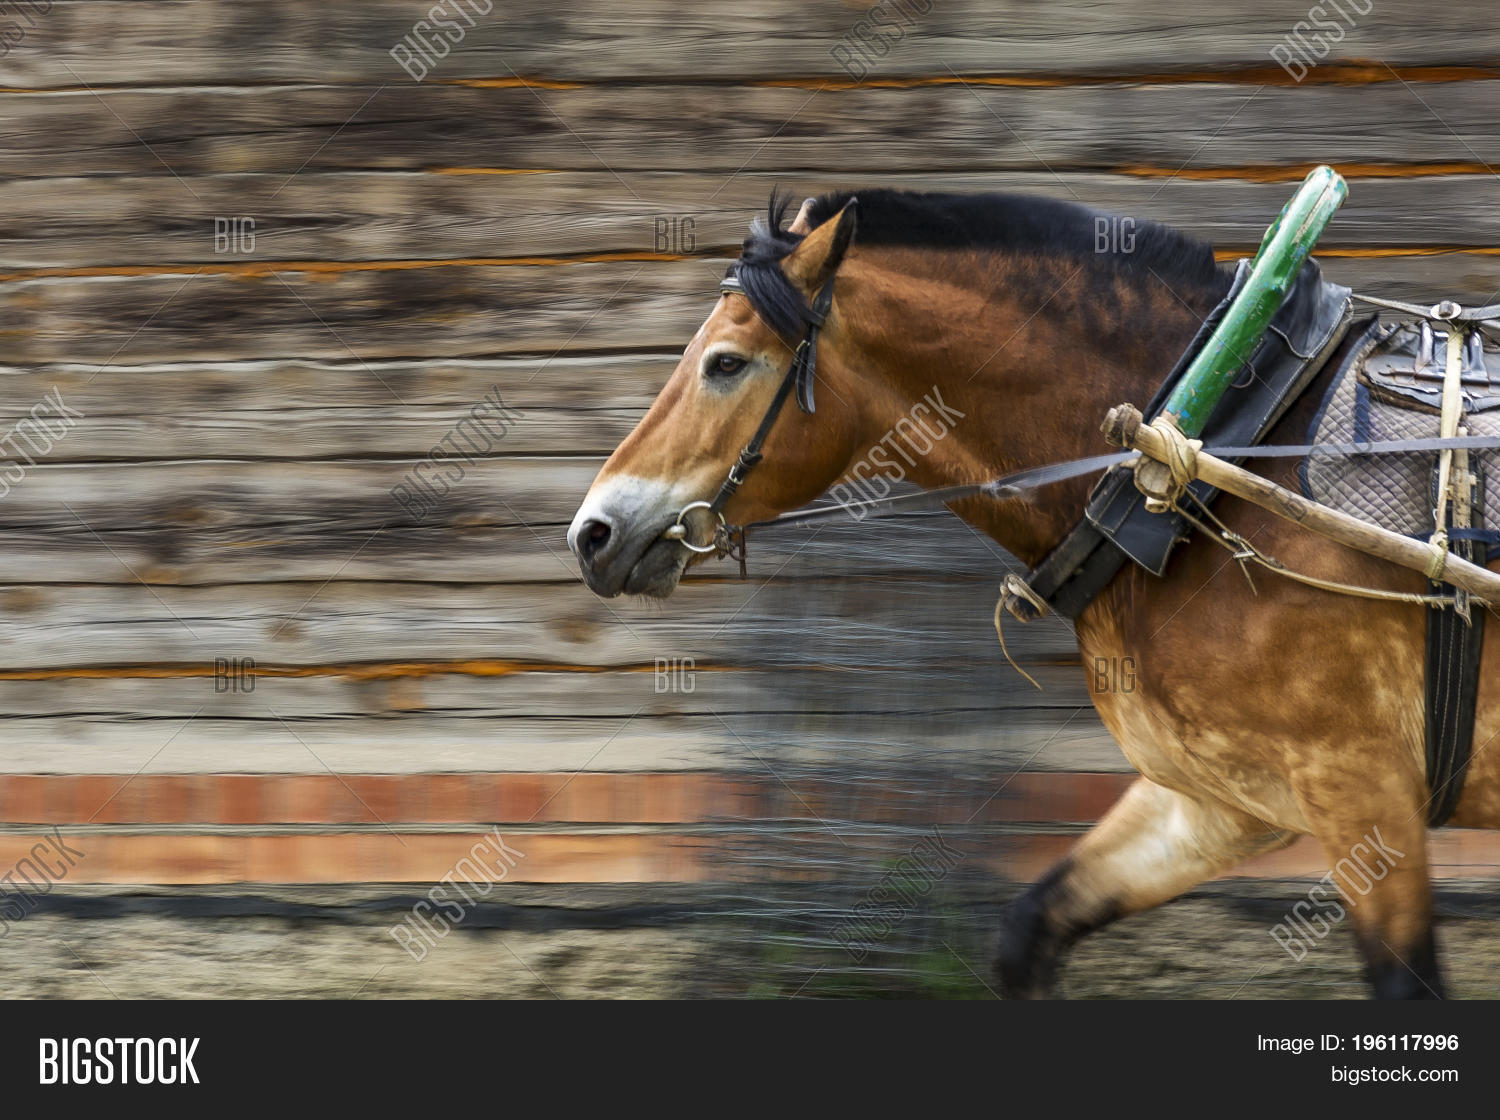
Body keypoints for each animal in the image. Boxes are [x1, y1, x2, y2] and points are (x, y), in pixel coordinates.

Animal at [567, 187, 1500, 998]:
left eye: (725, 364)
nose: (592, 533)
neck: (1219, 447)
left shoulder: (1361, 792)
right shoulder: (1221, 802)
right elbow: (1030, 931)